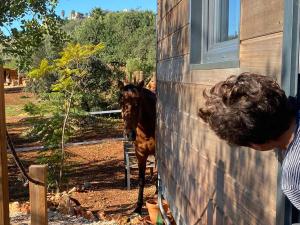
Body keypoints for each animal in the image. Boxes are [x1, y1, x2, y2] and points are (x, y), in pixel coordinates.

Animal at [118, 80, 157, 214]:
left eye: (137, 104)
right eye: (121, 103)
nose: (129, 134)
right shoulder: (140, 155)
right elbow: (141, 180)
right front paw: (138, 207)